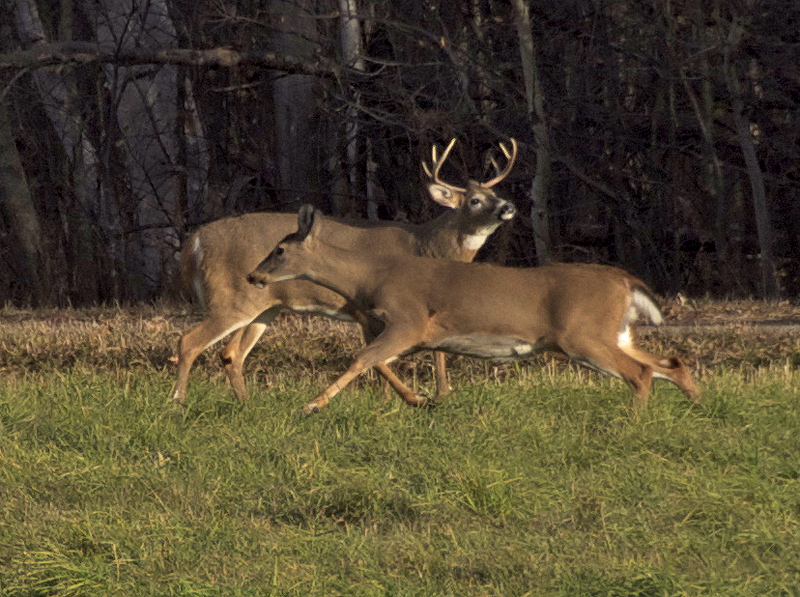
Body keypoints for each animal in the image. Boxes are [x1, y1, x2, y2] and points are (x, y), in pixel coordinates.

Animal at [173, 137, 520, 406]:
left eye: (496, 195)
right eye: (475, 201)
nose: (509, 207)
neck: (427, 245)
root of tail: (194, 242)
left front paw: (432, 396)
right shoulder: (370, 310)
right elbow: (381, 356)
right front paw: (408, 400)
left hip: (263, 307)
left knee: (231, 353)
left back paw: (246, 405)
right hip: (230, 297)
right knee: (190, 341)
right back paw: (178, 403)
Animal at [245, 205, 700, 414]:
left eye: (280, 250)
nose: (253, 275)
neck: (369, 278)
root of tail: (625, 282)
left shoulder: (408, 319)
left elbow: (361, 359)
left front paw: (311, 405)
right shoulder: (400, 331)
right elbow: (377, 362)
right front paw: (420, 400)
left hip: (582, 335)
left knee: (640, 372)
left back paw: (634, 421)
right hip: (612, 332)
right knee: (669, 362)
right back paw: (697, 403)